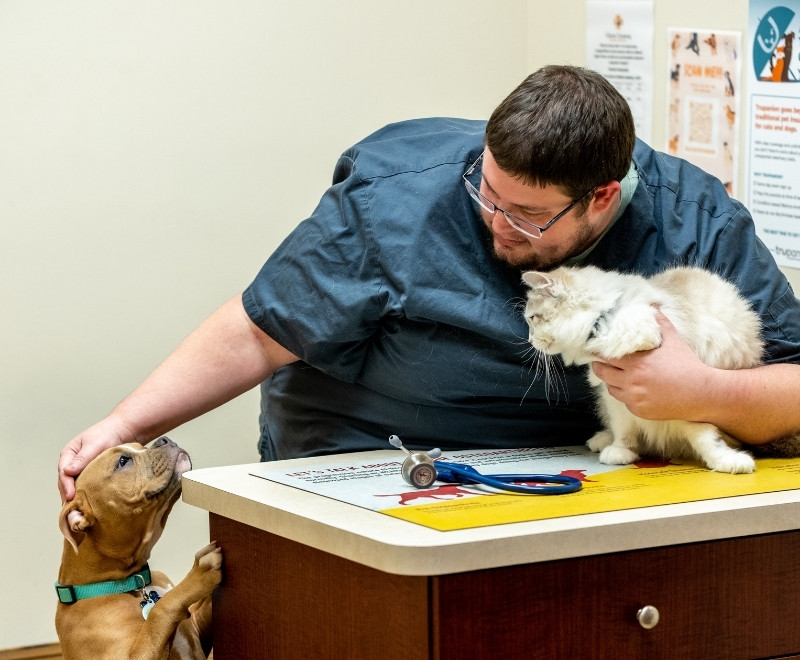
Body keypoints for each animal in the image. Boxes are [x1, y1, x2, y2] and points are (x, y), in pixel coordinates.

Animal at [55, 438, 222, 660]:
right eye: (123, 461)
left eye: (140, 445)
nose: (164, 440)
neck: (131, 583)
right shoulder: (130, 656)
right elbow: (160, 609)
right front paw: (200, 573)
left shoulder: (198, 630)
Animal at [520, 264, 772, 474]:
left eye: (532, 318)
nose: (530, 341)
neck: (604, 316)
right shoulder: (615, 395)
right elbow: (623, 429)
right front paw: (621, 451)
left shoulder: (685, 399)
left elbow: (706, 437)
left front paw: (725, 460)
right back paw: (602, 440)